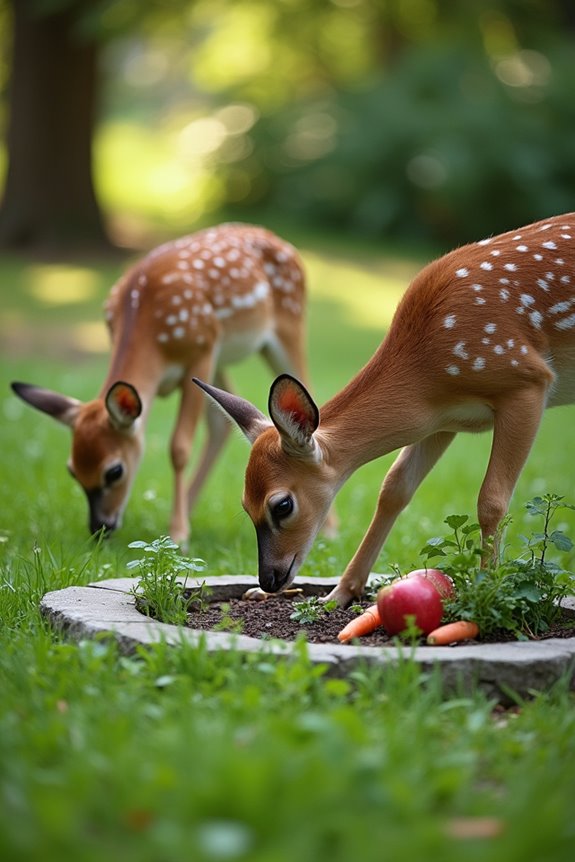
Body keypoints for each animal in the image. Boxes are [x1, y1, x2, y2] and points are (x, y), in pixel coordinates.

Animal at [11, 223, 321, 544]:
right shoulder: (204, 355)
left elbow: (179, 447)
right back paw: (189, 508)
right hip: (221, 356)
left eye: (114, 471)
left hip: (288, 323)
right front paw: (180, 525)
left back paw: (329, 529)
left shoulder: (200, 350)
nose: (100, 528)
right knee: (222, 422)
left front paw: (178, 534)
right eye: (72, 471)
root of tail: (277, 239)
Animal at [193, 213, 575, 606]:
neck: (429, 369)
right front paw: (339, 594)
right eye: (244, 505)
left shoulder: (527, 382)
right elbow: (394, 488)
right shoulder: (442, 419)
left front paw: (485, 595)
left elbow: (492, 500)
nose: (268, 579)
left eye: (282, 505)